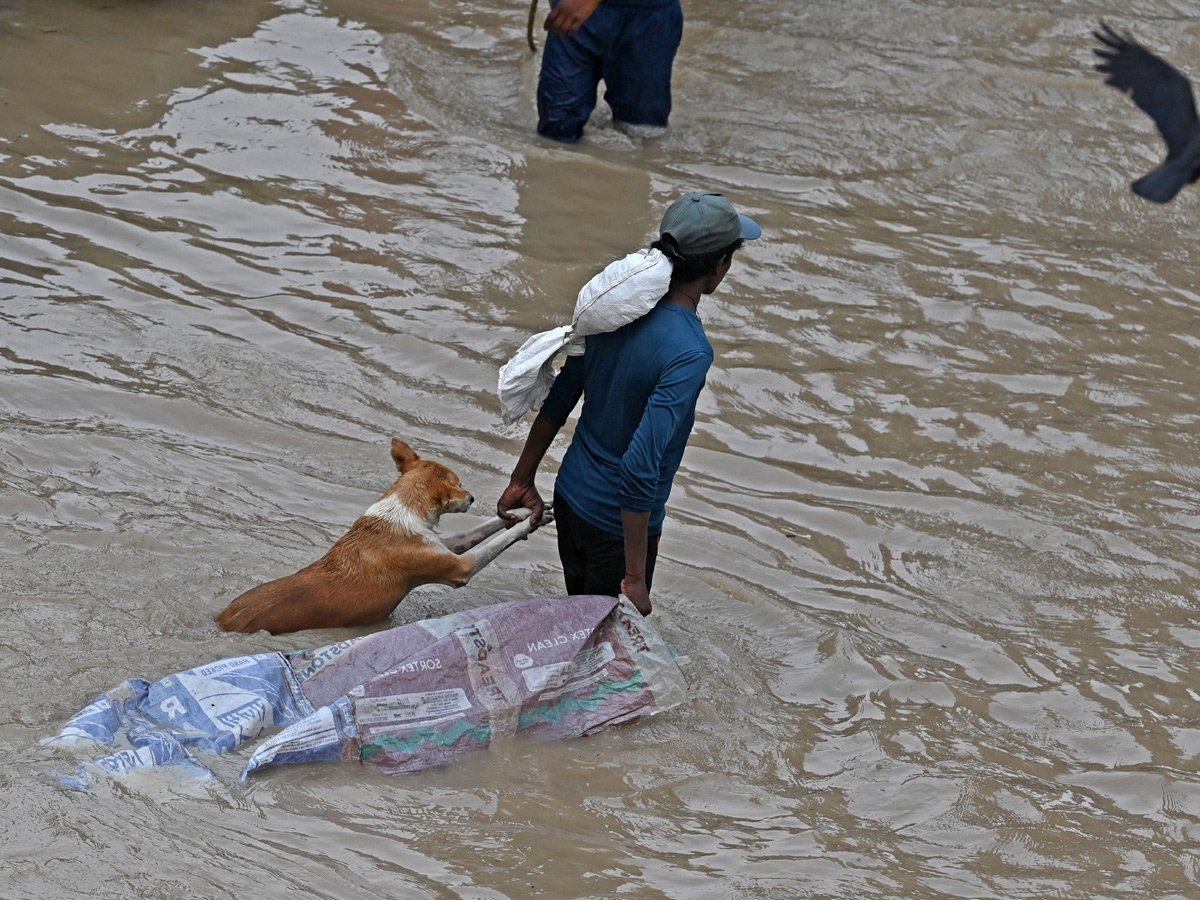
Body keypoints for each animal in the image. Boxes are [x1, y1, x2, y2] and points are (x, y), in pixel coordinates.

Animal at [214, 441, 544, 638]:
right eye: (460, 484)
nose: (473, 498)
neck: (401, 511)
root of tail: (221, 621)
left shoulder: (446, 548)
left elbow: (481, 530)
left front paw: (524, 510)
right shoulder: (459, 568)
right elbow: (496, 543)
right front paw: (526, 522)